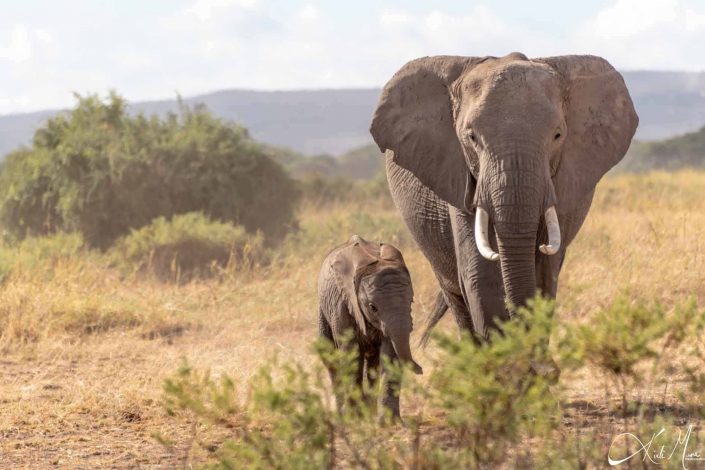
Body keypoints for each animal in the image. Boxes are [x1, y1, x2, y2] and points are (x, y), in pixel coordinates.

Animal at [320, 235, 424, 418]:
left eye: (411, 302)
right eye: (372, 307)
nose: (421, 370)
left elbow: (389, 355)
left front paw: (390, 422)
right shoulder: (342, 306)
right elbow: (351, 355)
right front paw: (356, 419)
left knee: (373, 362)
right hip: (323, 310)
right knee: (330, 357)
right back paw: (343, 415)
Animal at [372, 53, 636, 346]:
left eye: (558, 135)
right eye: (471, 137)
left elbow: (544, 275)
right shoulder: (460, 177)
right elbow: (481, 276)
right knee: (456, 297)